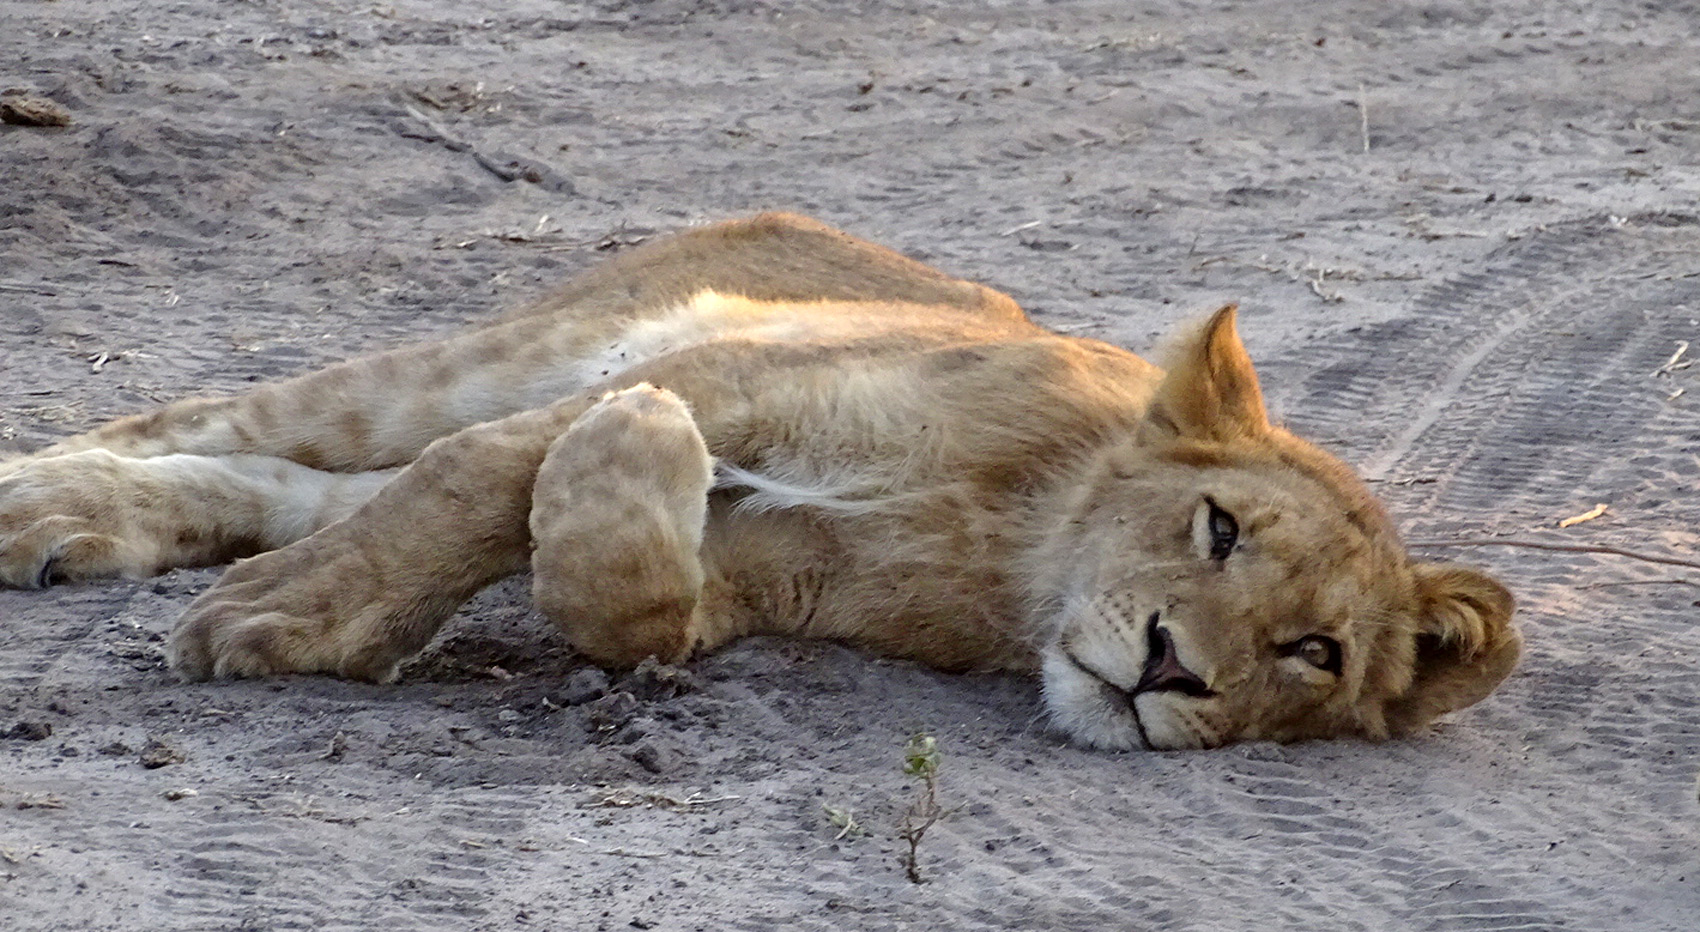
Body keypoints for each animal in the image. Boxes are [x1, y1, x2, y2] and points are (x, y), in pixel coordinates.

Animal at [0, 213, 1518, 750]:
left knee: (278, 476)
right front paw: (287, 623)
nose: (1169, 669)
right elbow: (471, 480)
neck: (1016, 540)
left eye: (1314, 652)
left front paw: (631, 457)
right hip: (501, 350)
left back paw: (83, 527)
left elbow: (620, 595)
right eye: (1216, 526)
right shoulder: (750, 377)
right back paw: (36, 496)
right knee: (235, 417)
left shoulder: (767, 581)